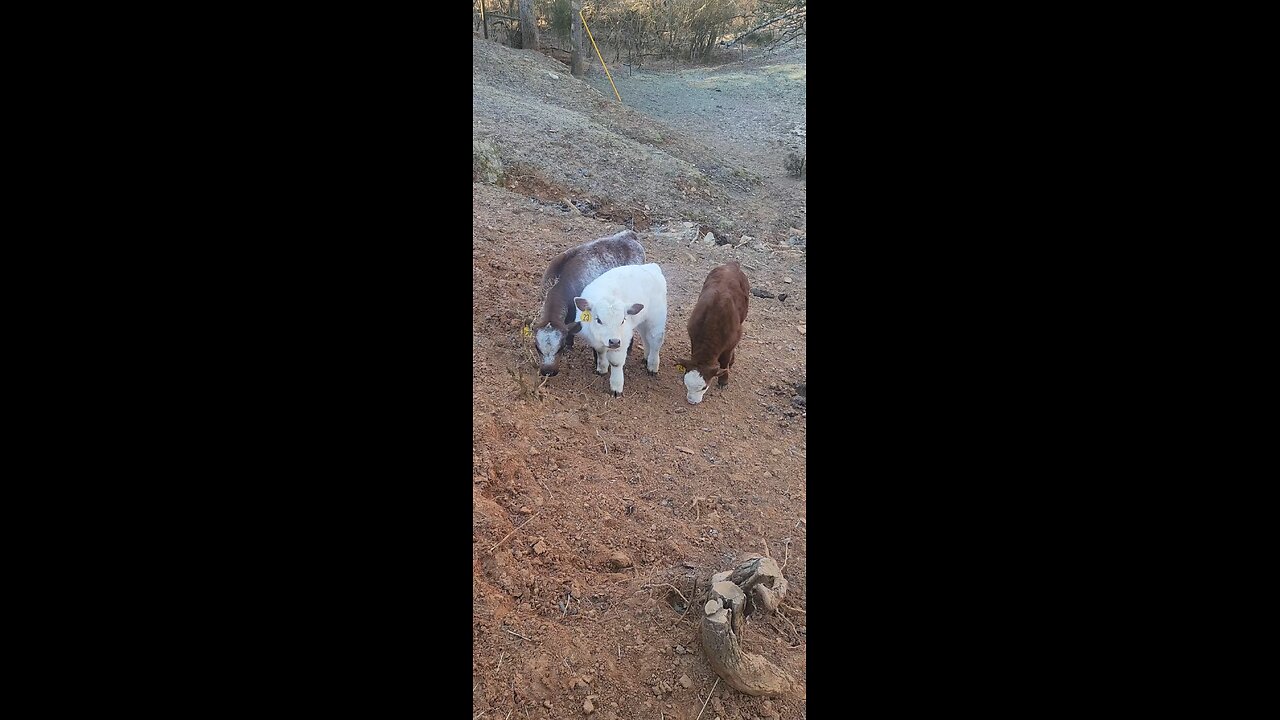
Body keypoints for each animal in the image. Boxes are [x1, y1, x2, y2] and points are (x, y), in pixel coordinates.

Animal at [573, 263, 668, 397]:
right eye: (598, 320)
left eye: (623, 320)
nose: (614, 341)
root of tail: (651, 266)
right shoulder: (594, 340)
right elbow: (600, 352)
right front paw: (602, 368)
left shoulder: (622, 340)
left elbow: (616, 363)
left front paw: (616, 387)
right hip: (642, 320)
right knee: (645, 337)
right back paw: (646, 356)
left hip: (656, 318)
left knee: (655, 340)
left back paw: (652, 366)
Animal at [673, 261, 750, 405]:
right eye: (686, 384)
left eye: (704, 387)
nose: (692, 401)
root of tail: (732, 264)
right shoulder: (693, 336)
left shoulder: (732, 340)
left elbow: (725, 360)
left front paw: (723, 380)